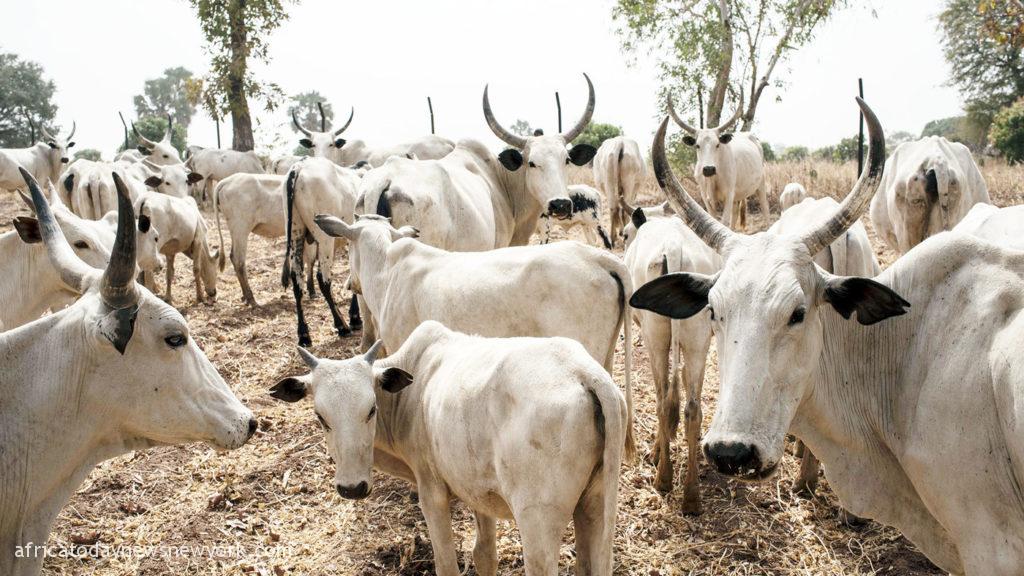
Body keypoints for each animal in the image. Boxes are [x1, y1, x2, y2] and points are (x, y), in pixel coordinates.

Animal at [212, 172, 316, 306]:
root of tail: (226, 180)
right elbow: (311, 260)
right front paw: (312, 291)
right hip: (241, 229)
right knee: (238, 260)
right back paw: (251, 299)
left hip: (236, 231)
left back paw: (245, 297)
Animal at [271, 322, 627, 575]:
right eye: (321, 417)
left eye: (371, 409)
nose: (352, 487)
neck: (411, 393)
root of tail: (585, 373)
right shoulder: (480, 492)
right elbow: (484, 555)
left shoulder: (432, 492)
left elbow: (446, 565)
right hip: (594, 505)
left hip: (538, 521)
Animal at [281, 158, 361, 345]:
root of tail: (299, 167)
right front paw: (355, 317)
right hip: (325, 239)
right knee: (323, 279)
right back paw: (341, 325)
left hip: (295, 233)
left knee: (297, 280)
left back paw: (304, 334)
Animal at [621, 201, 719, 513]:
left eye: (625, 234)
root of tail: (675, 250)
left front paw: (656, 451)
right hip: (698, 339)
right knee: (692, 409)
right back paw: (691, 496)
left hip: (656, 337)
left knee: (664, 400)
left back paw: (663, 478)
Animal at [667, 96, 769, 229]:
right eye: (697, 145)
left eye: (717, 144)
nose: (708, 169)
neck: (713, 178)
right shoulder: (706, 197)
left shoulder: (729, 195)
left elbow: (724, 221)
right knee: (735, 213)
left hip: (761, 184)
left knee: (765, 208)